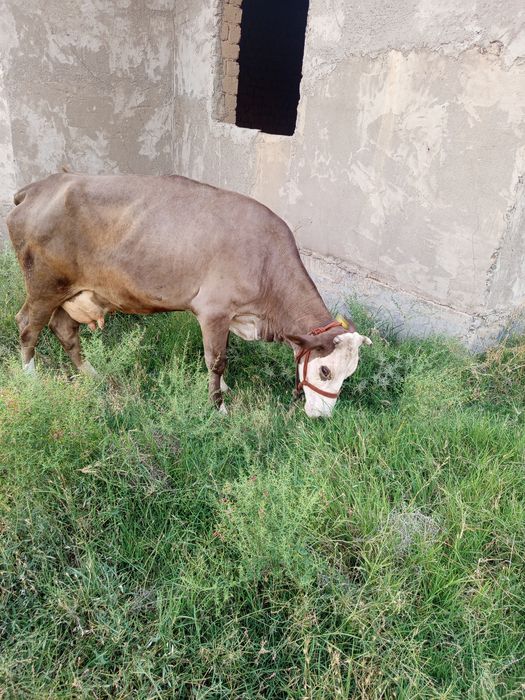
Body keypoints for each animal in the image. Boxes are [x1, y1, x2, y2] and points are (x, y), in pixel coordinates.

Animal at [6, 173, 371, 418]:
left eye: (349, 374)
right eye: (325, 371)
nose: (322, 416)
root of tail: (38, 187)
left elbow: (222, 355)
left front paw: (223, 390)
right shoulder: (214, 311)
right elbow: (217, 359)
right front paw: (219, 407)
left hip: (70, 292)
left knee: (65, 331)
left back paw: (93, 375)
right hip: (43, 286)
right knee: (28, 326)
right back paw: (32, 380)